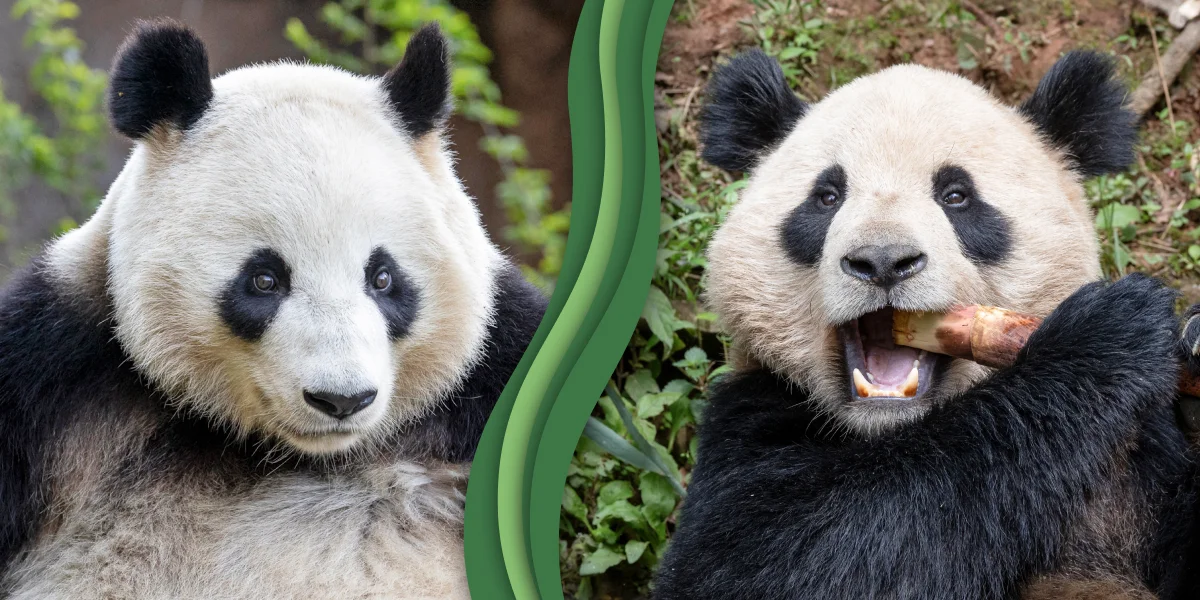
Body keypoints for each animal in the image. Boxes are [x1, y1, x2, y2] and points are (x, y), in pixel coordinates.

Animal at [0, 20, 545, 599]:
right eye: (264, 280)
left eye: (382, 278)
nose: (341, 399)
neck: (285, 454)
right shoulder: (56, 376)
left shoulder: (496, 366)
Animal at [653, 49, 1200, 599]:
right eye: (827, 197)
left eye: (957, 195)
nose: (882, 261)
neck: (891, 431)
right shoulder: (748, 415)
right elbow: (784, 558)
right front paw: (1104, 336)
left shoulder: (1139, 454)